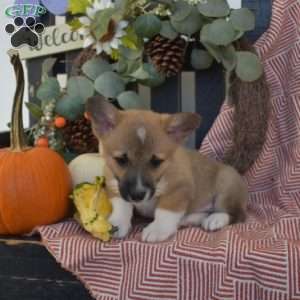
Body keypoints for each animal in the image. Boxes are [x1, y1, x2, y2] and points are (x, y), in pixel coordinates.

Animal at [85, 97, 247, 243]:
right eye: (121, 160)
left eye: (156, 161)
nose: (138, 195)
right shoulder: (115, 186)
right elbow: (121, 206)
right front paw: (117, 224)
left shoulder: (178, 190)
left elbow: (165, 211)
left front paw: (158, 229)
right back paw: (189, 219)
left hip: (226, 186)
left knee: (237, 214)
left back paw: (215, 219)